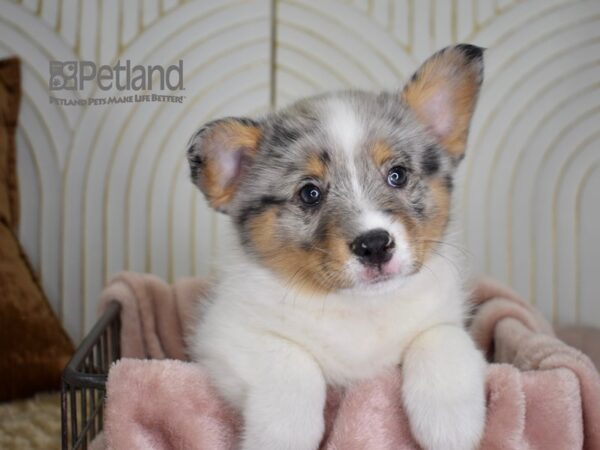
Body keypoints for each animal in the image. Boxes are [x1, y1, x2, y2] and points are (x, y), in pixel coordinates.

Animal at [186, 43, 488, 450]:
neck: (359, 308)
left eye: (398, 175)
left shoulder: (447, 318)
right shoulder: (222, 335)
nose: (375, 245)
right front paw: (284, 433)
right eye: (310, 193)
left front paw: (450, 424)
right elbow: (291, 362)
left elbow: (442, 338)